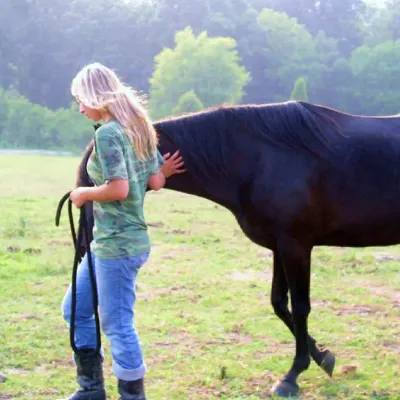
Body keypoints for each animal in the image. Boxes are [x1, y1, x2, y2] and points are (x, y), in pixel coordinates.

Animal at [74, 101, 400, 396]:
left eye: (93, 178)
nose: (84, 243)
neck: (261, 159)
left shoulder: (296, 244)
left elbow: (301, 307)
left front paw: (292, 375)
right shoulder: (279, 246)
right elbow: (280, 303)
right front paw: (322, 357)